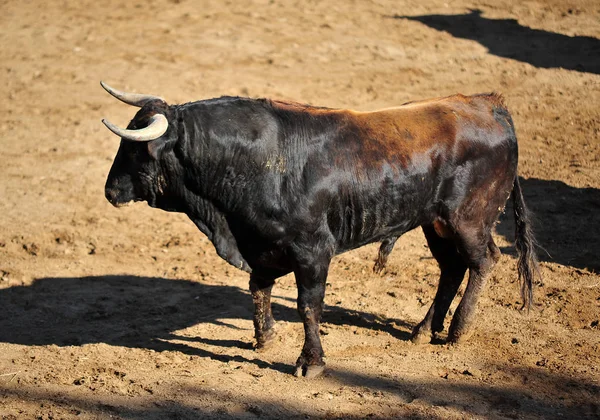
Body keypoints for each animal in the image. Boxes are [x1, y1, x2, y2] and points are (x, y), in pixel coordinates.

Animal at [99, 81, 540, 378]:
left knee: (484, 260)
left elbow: (308, 305)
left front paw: (310, 363)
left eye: (135, 148)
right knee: (451, 269)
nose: (110, 191)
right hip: (435, 223)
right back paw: (422, 331)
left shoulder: (312, 250)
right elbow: (259, 287)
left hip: (468, 219)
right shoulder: (262, 244)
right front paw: (264, 338)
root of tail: (490, 106)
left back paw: (458, 331)